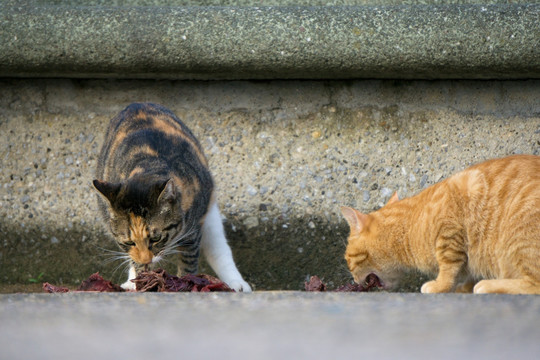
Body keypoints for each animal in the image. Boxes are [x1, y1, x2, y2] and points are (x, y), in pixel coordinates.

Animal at [93, 102, 251, 292]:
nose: (146, 260)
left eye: (156, 238)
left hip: (209, 211)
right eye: (129, 242)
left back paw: (237, 284)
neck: (146, 167)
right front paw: (141, 281)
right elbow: (135, 262)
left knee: (219, 248)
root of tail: (136, 104)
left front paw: (185, 283)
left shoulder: (193, 230)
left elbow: (188, 263)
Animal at [342, 155, 540, 296]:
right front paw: (464, 288)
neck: (410, 223)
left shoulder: (449, 233)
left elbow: (448, 268)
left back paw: (487, 285)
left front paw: (440, 286)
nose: (353, 280)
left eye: (347, 259)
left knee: (534, 284)